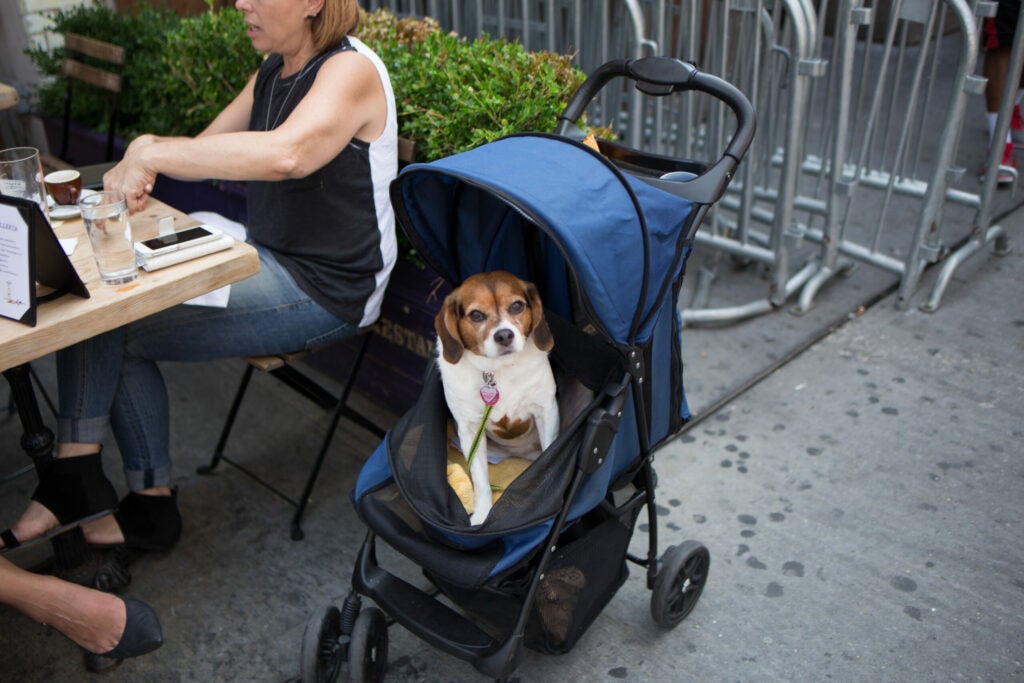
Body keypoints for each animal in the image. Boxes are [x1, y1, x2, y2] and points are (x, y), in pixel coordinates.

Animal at [434, 270, 561, 528]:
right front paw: (482, 514)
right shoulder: (470, 430)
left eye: (516, 306)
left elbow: (549, 456)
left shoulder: (545, 410)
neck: (497, 371)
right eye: (476, 315)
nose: (504, 335)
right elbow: (480, 480)